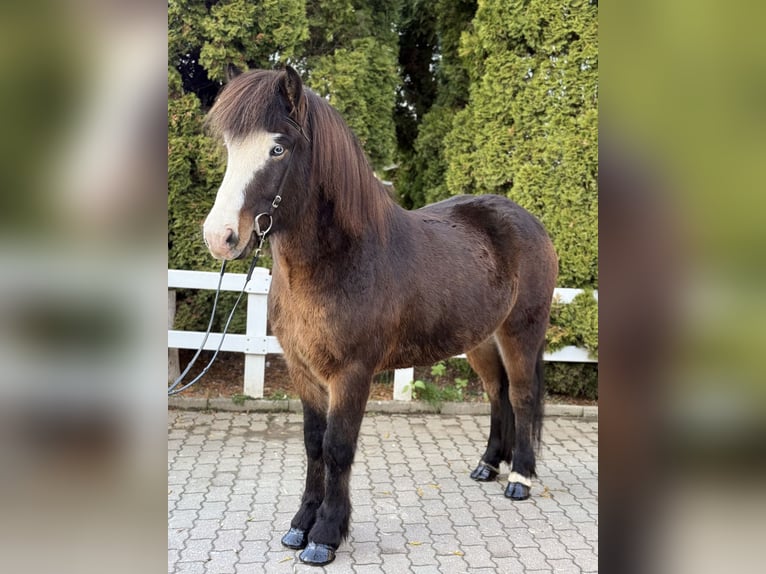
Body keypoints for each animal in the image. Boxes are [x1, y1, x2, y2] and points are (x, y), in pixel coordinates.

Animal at [202, 66, 558, 566]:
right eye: (230, 148)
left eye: (278, 148)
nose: (220, 237)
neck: (343, 258)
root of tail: (528, 222)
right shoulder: (302, 370)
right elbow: (312, 443)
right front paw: (300, 525)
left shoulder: (352, 373)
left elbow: (337, 448)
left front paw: (325, 536)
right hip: (480, 341)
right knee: (497, 394)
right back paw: (488, 465)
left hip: (520, 331)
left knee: (523, 396)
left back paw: (520, 479)